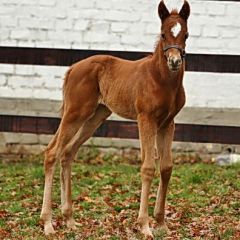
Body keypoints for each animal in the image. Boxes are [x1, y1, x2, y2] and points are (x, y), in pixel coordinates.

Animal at [40, 0, 190, 238]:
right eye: (163, 34)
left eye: (185, 34)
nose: (175, 61)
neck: (161, 79)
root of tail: (72, 68)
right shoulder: (146, 119)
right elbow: (148, 167)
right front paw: (144, 226)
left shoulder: (167, 123)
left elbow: (166, 167)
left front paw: (161, 223)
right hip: (75, 113)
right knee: (52, 152)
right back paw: (48, 223)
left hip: (96, 116)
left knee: (68, 153)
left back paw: (70, 219)